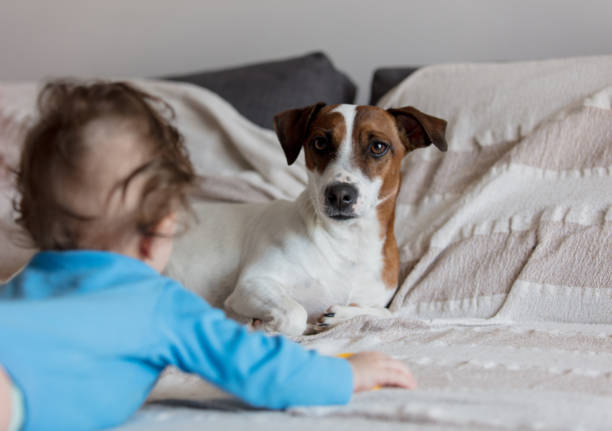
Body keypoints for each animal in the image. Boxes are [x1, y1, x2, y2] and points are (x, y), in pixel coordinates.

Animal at [166, 103, 444, 336]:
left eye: (378, 147)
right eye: (320, 143)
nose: (339, 194)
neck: (347, 242)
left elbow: (388, 312)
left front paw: (339, 316)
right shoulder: (252, 285)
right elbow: (294, 314)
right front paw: (261, 328)